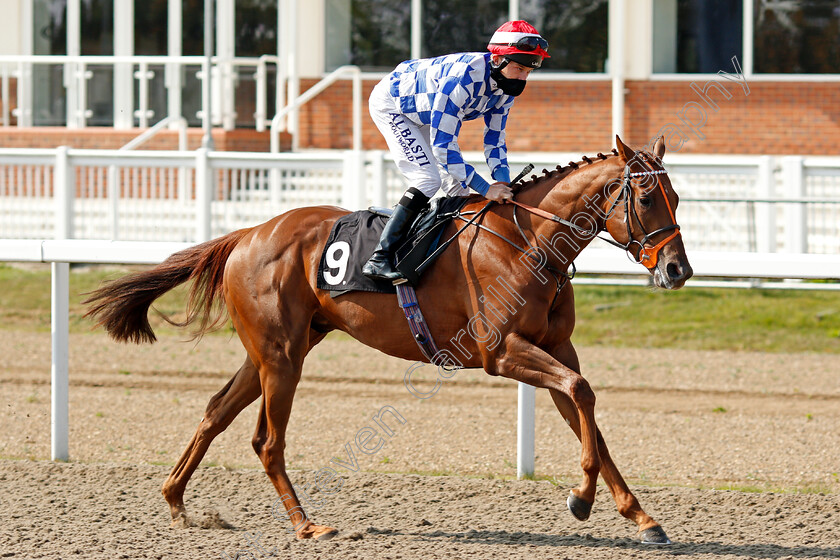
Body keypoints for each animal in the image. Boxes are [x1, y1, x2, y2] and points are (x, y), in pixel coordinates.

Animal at [83, 138, 688, 544]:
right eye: (645, 198)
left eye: (676, 197)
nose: (678, 270)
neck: (526, 241)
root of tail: (246, 234)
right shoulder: (501, 353)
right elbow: (582, 393)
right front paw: (581, 500)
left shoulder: (556, 349)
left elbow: (588, 415)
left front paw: (641, 516)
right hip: (281, 355)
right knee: (267, 441)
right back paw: (307, 525)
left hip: (277, 350)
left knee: (215, 411)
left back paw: (177, 502)